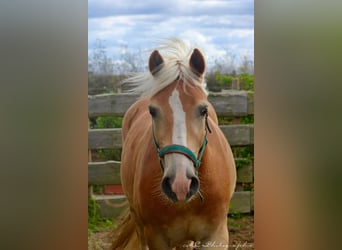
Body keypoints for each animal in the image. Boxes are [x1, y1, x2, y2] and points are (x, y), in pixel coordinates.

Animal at [111, 38, 236, 249]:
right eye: (153, 111)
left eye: (203, 110)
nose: (180, 184)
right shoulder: (157, 238)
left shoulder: (215, 236)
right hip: (138, 221)